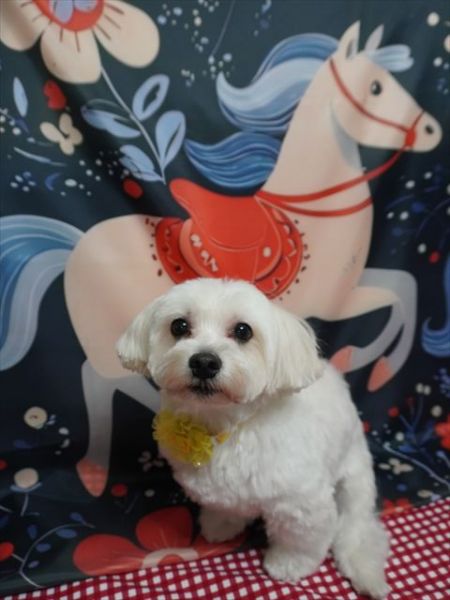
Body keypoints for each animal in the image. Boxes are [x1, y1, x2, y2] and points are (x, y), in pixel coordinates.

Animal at [117, 278, 390, 598]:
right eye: (179, 326)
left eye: (243, 331)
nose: (204, 362)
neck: (228, 428)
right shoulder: (219, 489)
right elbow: (224, 507)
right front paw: (221, 525)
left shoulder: (303, 504)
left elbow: (302, 540)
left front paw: (289, 564)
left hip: (355, 477)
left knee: (357, 528)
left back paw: (365, 570)